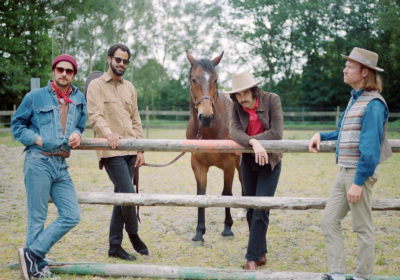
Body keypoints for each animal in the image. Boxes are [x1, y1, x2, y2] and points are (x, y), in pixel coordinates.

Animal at [186, 50, 242, 243]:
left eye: (216, 80)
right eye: (193, 79)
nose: (206, 117)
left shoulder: (229, 165)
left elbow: (227, 194)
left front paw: (228, 228)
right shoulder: (198, 165)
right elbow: (201, 195)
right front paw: (199, 232)